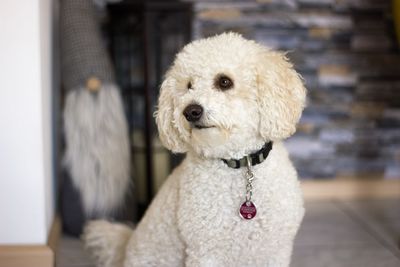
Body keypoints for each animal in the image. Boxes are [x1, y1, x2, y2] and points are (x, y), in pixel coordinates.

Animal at [84, 33, 306, 267]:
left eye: (224, 81)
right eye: (189, 85)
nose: (191, 111)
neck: (239, 164)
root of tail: (126, 248)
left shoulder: (274, 251)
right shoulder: (206, 252)